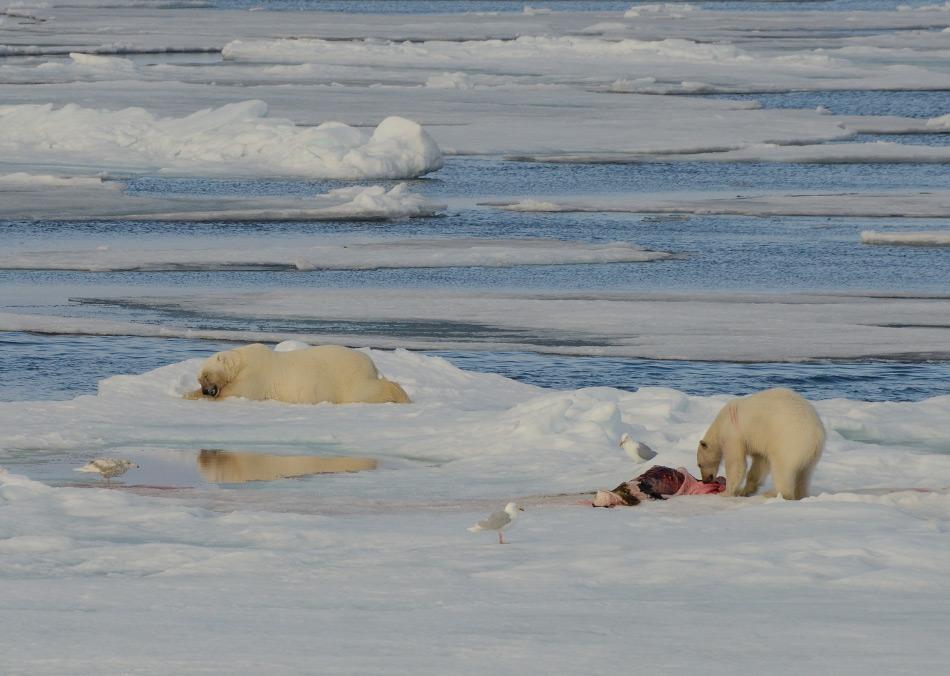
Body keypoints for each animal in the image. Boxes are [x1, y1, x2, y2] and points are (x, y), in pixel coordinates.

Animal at [184, 346, 410, 404]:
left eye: (207, 376)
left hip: (348, 377)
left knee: (365, 391)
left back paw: (401, 395)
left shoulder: (254, 376)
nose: (207, 390)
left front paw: (188, 395)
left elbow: (236, 392)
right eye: (200, 378)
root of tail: (370, 363)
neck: (242, 361)